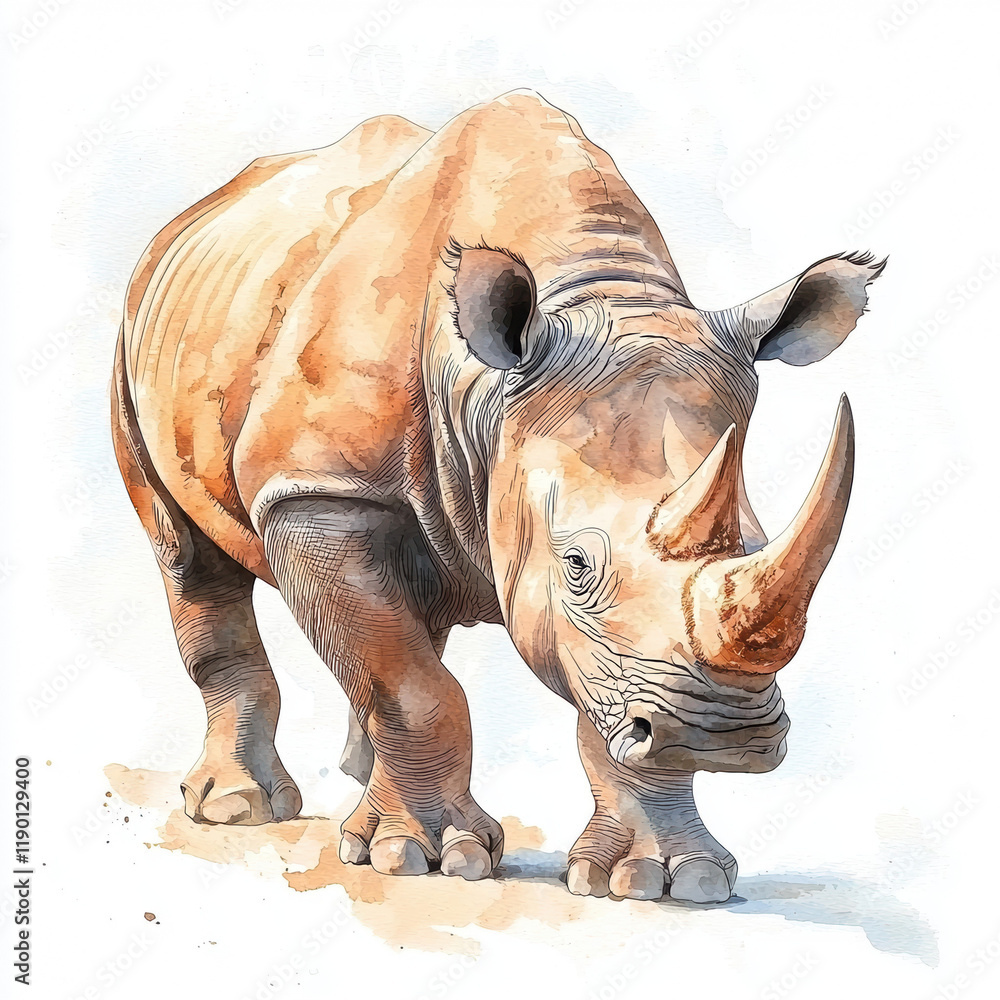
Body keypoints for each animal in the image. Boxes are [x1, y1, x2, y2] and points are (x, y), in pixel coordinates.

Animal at [111, 90, 882, 903]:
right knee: (188, 555)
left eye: (756, 542)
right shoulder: (318, 492)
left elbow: (590, 699)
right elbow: (410, 686)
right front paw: (426, 858)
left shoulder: (611, 646)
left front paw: (668, 879)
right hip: (136, 331)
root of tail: (195, 213)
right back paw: (239, 807)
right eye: (577, 566)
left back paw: (359, 787)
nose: (724, 738)